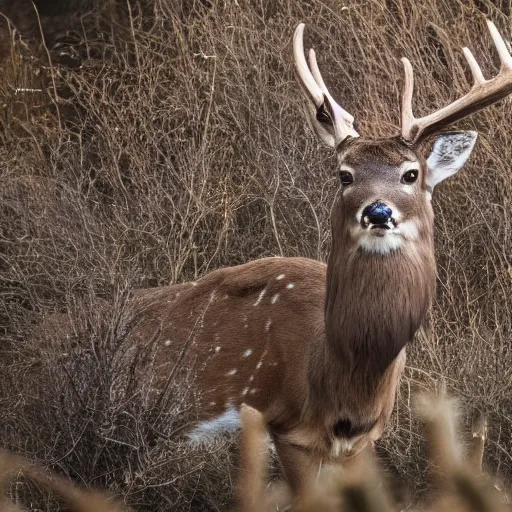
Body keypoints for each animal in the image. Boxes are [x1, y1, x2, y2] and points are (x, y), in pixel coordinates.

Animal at [126, 20, 512, 496]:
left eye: (411, 173)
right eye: (344, 175)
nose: (378, 212)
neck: (343, 382)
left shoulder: (361, 441)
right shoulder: (288, 429)